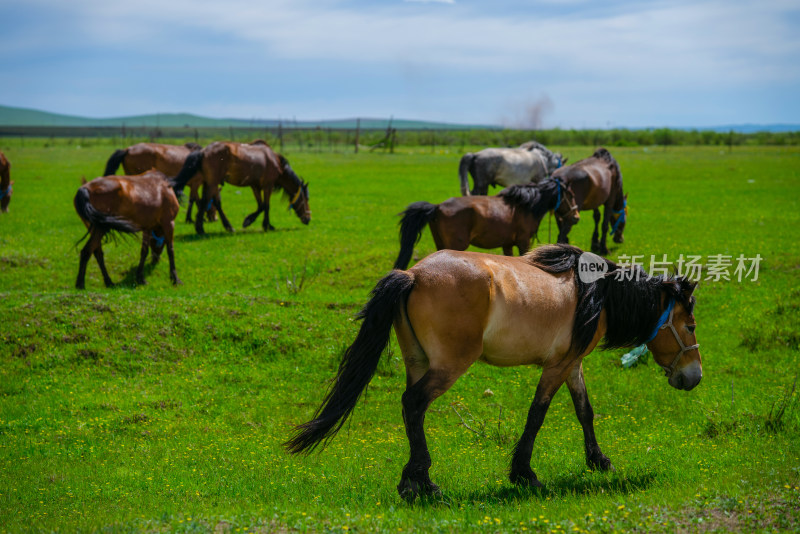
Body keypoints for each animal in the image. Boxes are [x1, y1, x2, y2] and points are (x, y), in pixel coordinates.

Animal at [173, 141, 310, 236]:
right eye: (306, 199)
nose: (308, 219)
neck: (275, 161)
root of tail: (203, 151)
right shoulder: (268, 186)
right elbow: (266, 206)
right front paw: (266, 225)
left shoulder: (255, 186)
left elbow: (261, 206)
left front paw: (249, 220)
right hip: (212, 183)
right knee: (206, 202)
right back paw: (201, 229)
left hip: (209, 183)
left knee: (212, 203)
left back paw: (226, 226)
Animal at [288, 246, 700, 502]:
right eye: (691, 325)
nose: (694, 376)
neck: (596, 294)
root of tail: (413, 274)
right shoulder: (557, 366)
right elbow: (537, 415)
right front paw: (524, 474)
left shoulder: (572, 363)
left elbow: (585, 411)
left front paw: (599, 461)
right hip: (448, 366)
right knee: (414, 403)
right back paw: (421, 482)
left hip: (418, 362)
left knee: (412, 411)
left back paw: (416, 480)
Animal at [396, 180, 580, 272]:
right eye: (570, 195)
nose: (576, 217)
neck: (524, 206)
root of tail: (437, 207)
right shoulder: (523, 241)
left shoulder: (507, 244)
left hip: (440, 244)